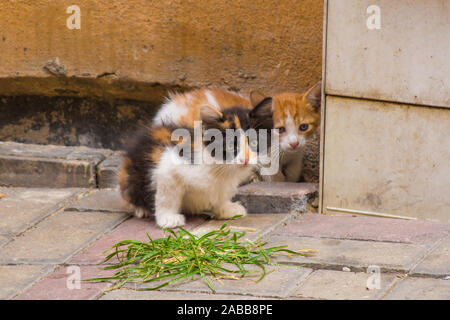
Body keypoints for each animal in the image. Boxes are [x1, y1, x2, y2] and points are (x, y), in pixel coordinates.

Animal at [118, 88, 270, 228]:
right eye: (230, 146)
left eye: (255, 143)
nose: (245, 159)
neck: (220, 167)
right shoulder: (168, 166)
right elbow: (167, 196)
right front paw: (168, 218)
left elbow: (221, 194)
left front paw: (225, 209)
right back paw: (141, 209)